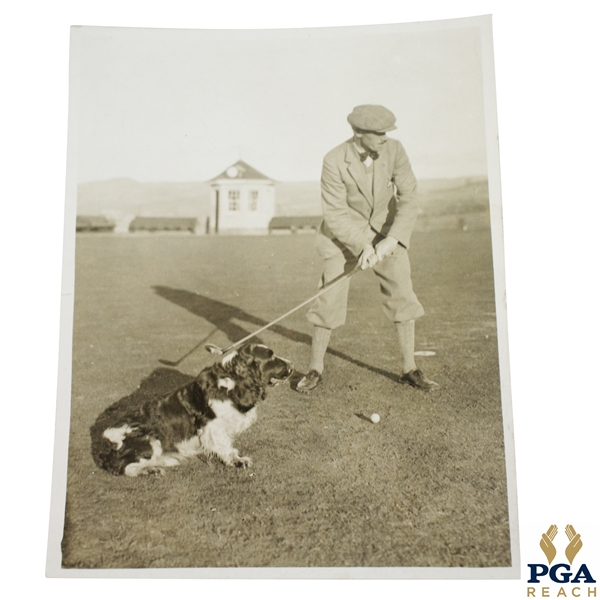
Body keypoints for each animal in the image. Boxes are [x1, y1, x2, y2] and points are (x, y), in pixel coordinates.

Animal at [91, 342, 292, 478]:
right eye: (271, 357)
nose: (291, 365)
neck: (232, 381)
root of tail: (101, 446)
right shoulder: (213, 426)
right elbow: (224, 446)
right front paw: (237, 461)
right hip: (148, 439)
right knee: (126, 467)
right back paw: (151, 470)